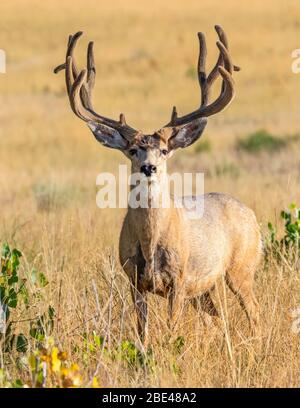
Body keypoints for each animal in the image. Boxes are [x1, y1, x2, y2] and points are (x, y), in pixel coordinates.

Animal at [54, 25, 262, 344]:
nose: (148, 167)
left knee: (255, 312)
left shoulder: (179, 279)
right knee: (216, 318)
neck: (152, 242)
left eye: (164, 150)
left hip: (241, 267)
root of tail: (251, 214)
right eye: (132, 150)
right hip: (205, 289)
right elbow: (142, 331)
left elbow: (171, 329)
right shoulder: (134, 279)